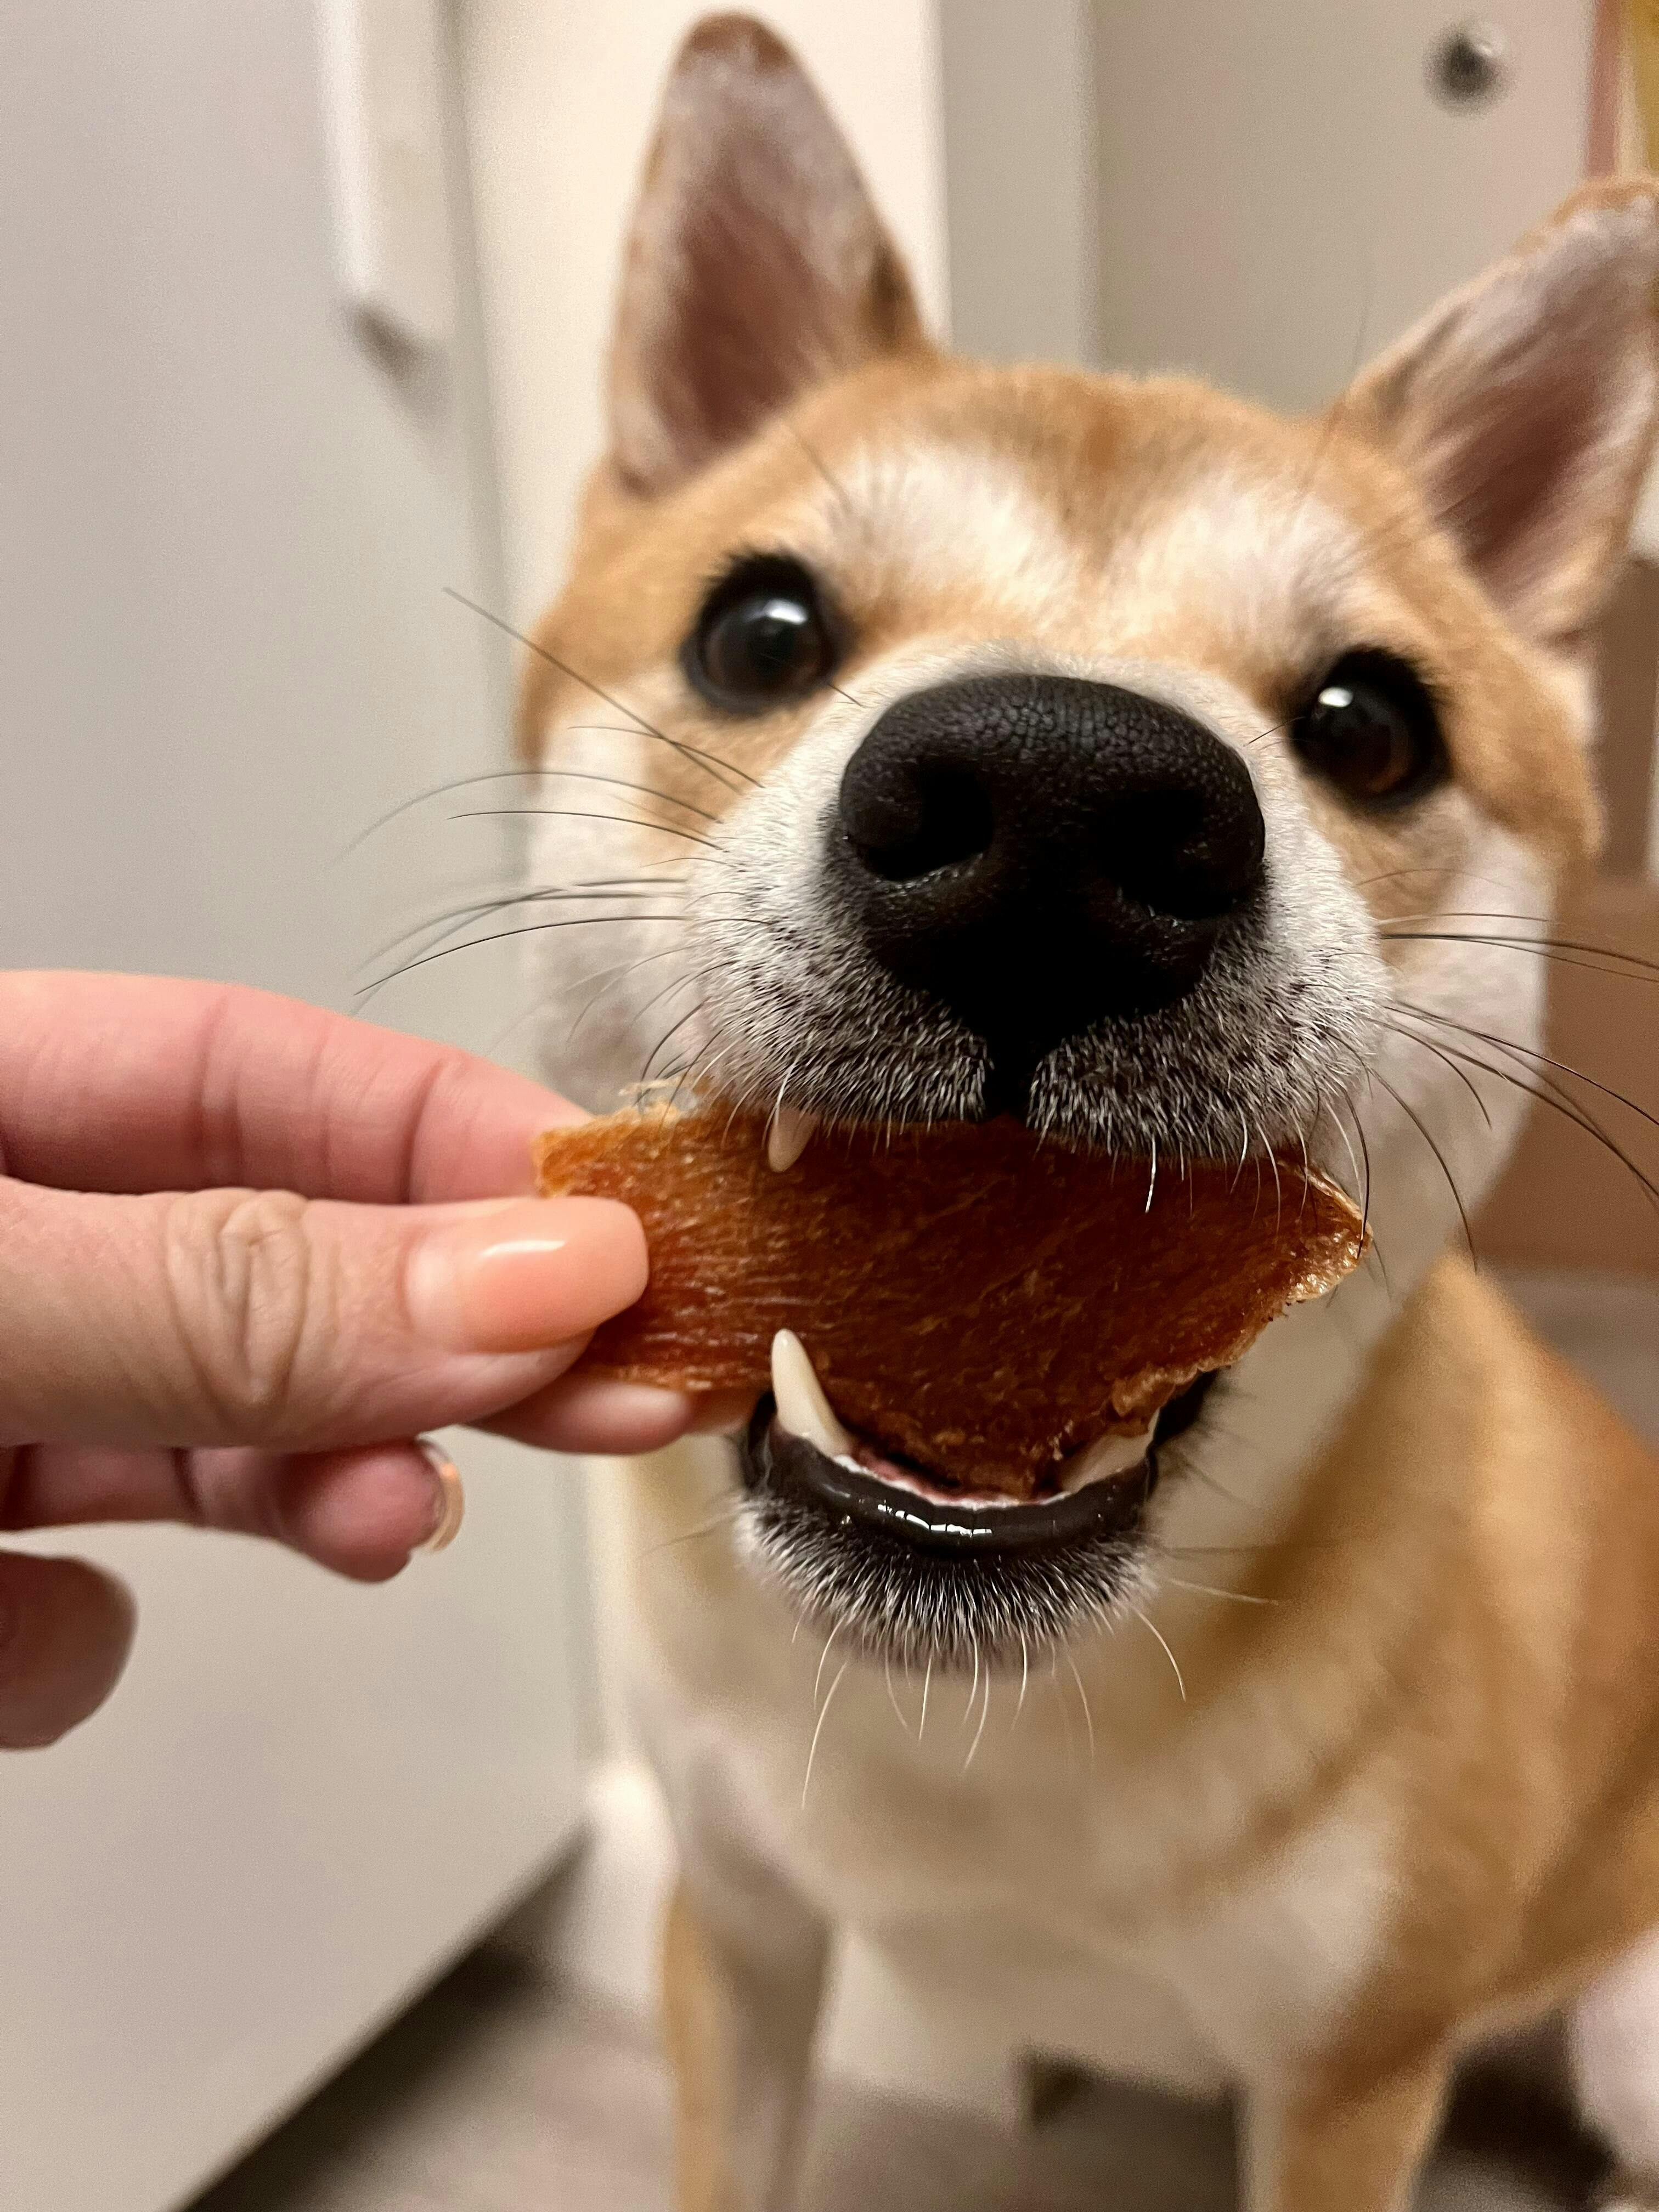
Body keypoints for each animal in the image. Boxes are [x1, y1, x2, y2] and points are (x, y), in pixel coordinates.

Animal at [514, 17, 1659, 2208]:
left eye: (1368, 727)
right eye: (758, 633)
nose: (1052, 815)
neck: (990, 1723)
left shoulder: (1346, 2078)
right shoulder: (739, 1922)